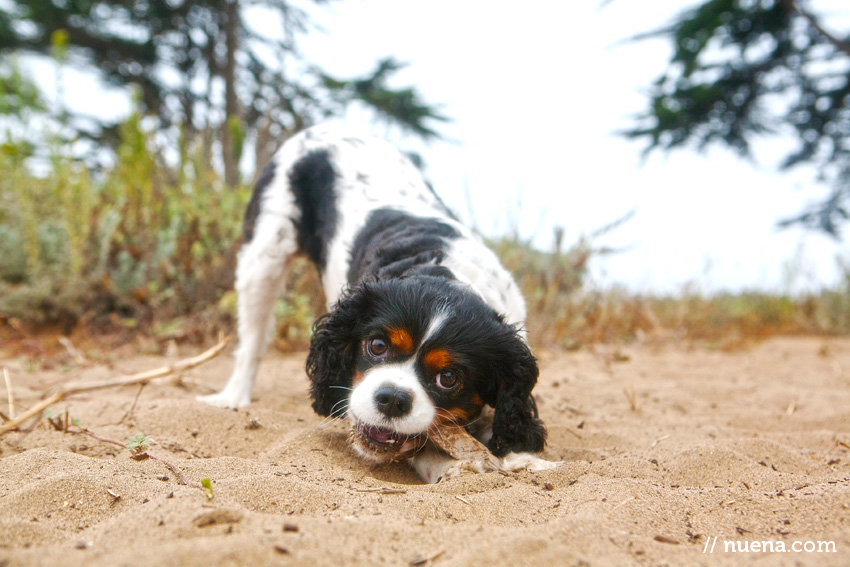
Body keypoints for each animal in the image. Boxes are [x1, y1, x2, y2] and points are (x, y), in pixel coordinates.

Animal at [195, 125, 560, 484]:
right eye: (378, 346)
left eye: (448, 378)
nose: (393, 399)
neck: (440, 268)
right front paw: (449, 464)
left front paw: (521, 457)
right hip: (263, 258)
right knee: (252, 340)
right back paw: (233, 397)